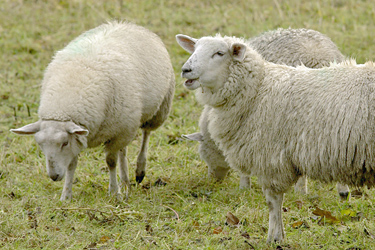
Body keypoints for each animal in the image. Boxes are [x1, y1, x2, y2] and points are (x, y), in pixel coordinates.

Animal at [11, 21, 176, 201]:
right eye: (40, 144)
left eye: (64, 143)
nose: (53, 176)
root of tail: (126, 24)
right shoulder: (83, 135)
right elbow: (71, 165)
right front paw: (66, 195)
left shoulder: (112, 134)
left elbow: (110, 161)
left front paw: (114, 192)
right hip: (126, 123)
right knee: (124, 151)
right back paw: (125, 182)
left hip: (156, 110)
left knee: (145, 135)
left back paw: (139, 170)